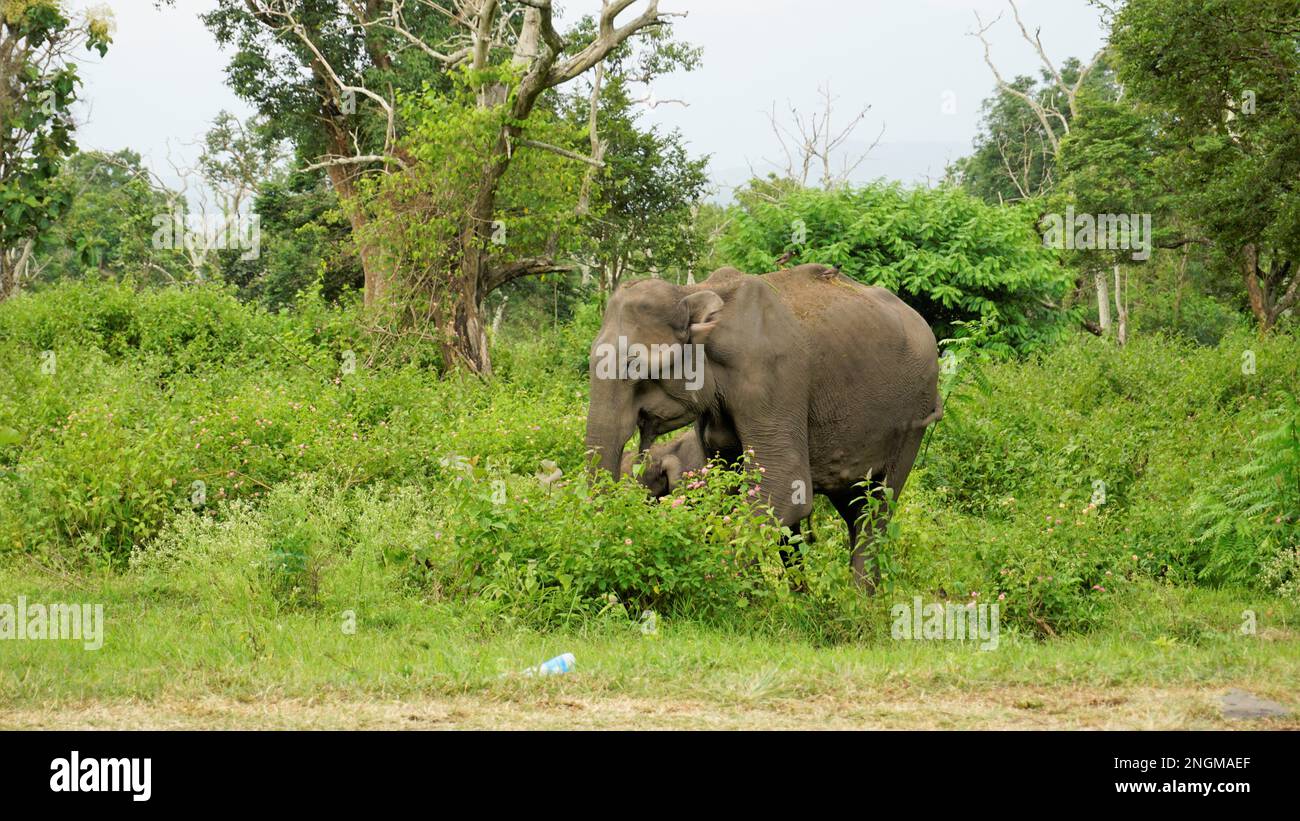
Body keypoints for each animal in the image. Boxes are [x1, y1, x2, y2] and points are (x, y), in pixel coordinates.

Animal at [585, 265, 941, 589]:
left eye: (634, 364)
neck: (692, 292)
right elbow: (726, 486)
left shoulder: (772, 375)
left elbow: (785, 486)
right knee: (853, 509)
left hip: (913, 419)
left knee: (877, 508)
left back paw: (858, 602)